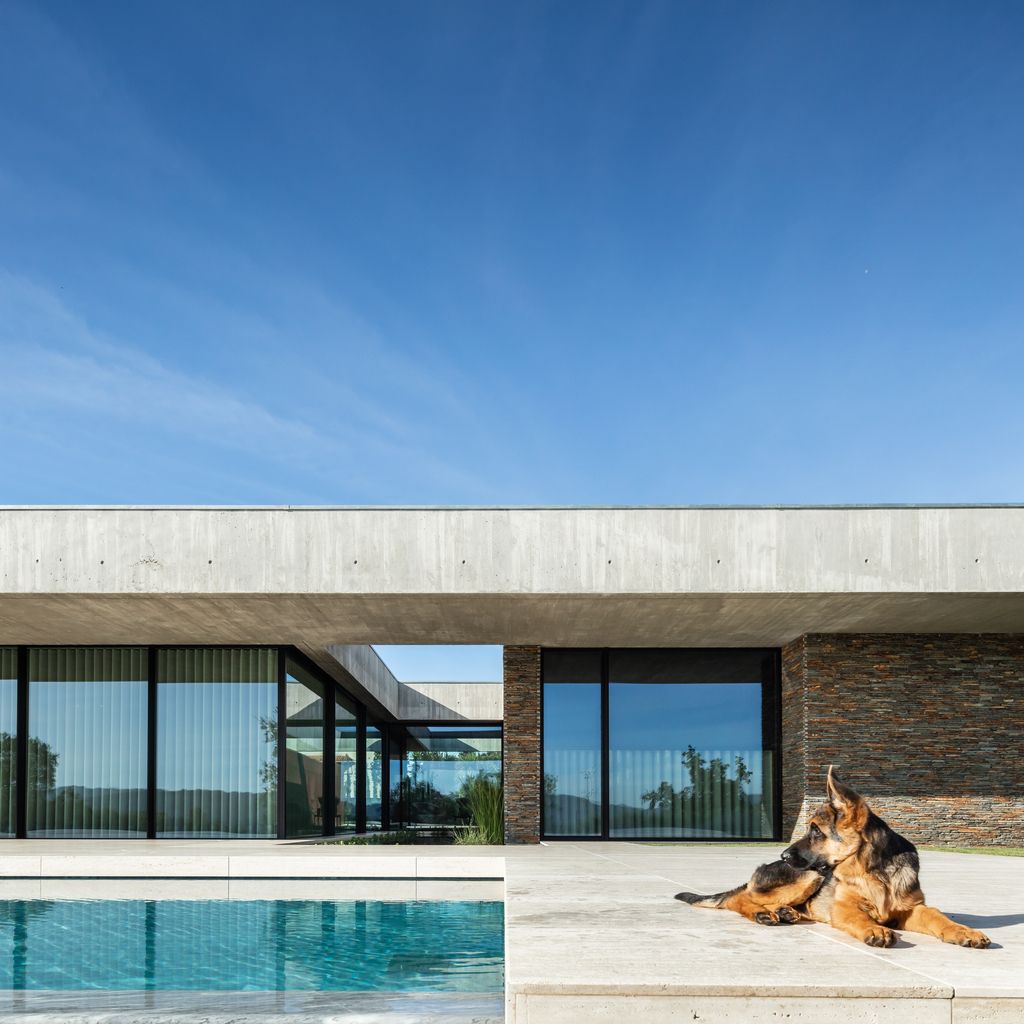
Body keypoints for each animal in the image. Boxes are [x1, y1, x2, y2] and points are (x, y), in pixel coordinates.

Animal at [675, 765, 987, 946]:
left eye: (815, 831)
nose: (784, 854)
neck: (872, 872)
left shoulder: (911, 909)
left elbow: (937, 916)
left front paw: (964, 931)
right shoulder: (844, 907)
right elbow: (860, 917)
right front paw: (875, 930)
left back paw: (786, 913)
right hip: (808, 876)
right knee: (739, 898)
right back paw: (763, 913)